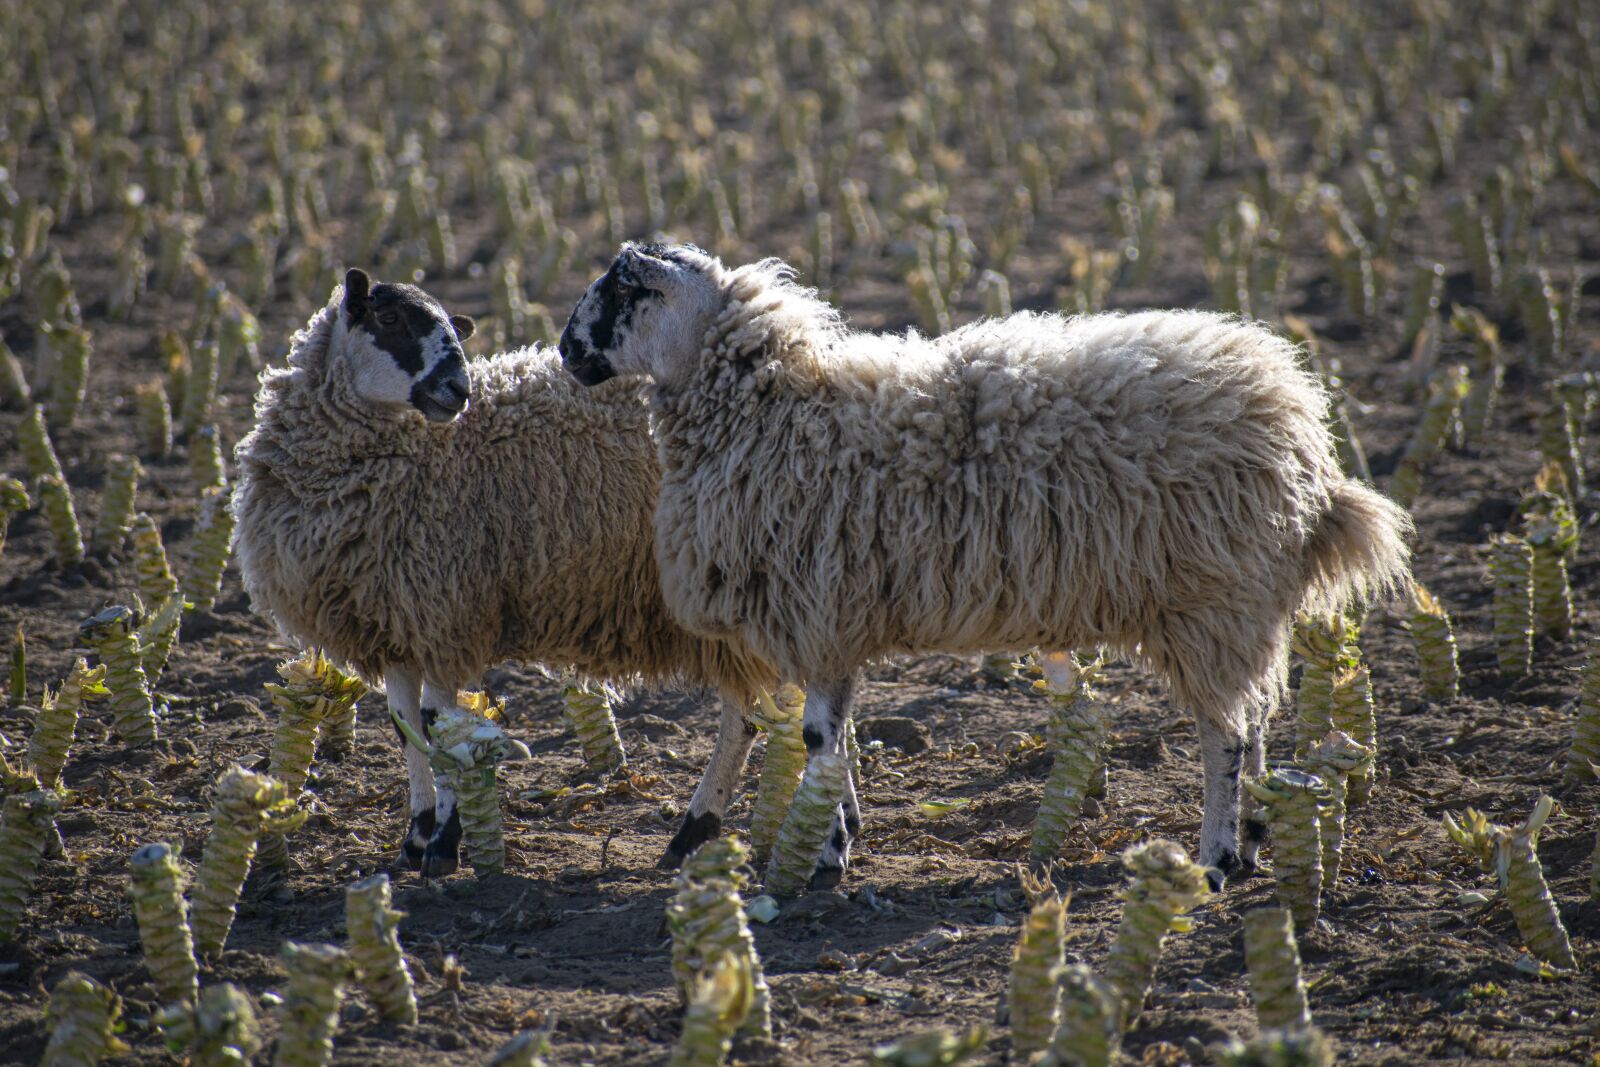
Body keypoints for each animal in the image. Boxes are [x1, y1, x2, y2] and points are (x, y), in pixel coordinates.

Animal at [232, 268, 776, 877]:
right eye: (389, 318)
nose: (458, 389)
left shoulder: (446, 611)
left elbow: (435, 724)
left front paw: (443, 847)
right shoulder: (397, 619)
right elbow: (403, 726)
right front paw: (416, 836)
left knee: (742, 719)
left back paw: (695, 832)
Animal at [558, 242, 1412, 889]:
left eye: (626, 288)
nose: (566, 351)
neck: (771, 410)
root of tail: (1301, 432)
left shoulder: (816, 608)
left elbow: (816, 737)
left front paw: (825, 853)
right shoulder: (831, 621)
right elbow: (834, 732)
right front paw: (840, 828)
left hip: (1207, 596)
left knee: (1224, 735)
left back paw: (1216, 855)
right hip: (1239, 603)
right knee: (1255, 714)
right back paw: (1257, 833)